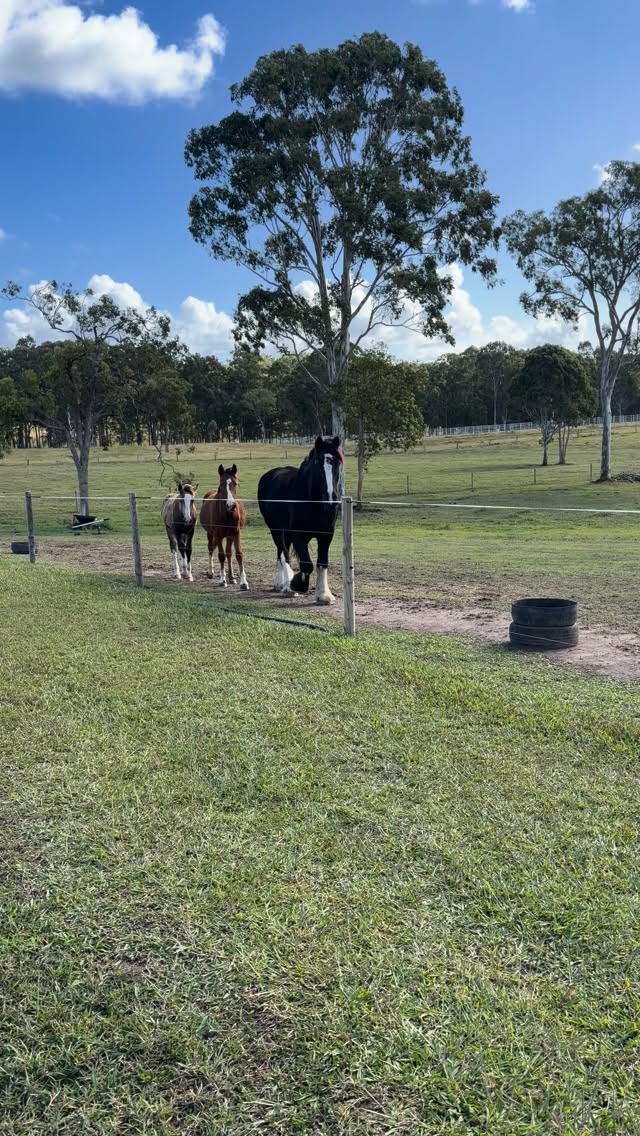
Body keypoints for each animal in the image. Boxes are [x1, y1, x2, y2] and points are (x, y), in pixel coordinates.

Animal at [258, 436, 343, 605]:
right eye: (318, 463)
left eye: (338, 463)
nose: (331, 501)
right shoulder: (298, 535)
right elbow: (307, 564)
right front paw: (296, 584)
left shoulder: (326, 535)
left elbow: (322, 563)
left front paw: (324, 595)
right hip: (276, 530)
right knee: (283, 553)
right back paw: (287, 586)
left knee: (281, 552)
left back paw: (279, 584)